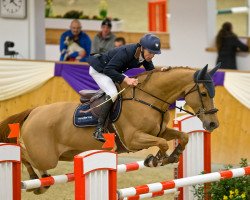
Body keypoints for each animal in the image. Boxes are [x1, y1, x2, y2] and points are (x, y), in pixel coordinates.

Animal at [0, 64, 219, 194]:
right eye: (203, 93)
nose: (213, 124)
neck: (149, 98)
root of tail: (33, 112)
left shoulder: (159, 131)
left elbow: (181, 136)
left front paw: (173, 156)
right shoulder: (133, 139)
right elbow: (163, 143)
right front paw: (155, 159)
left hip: (63, 154)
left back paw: (41, 182)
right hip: (45, 156)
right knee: (23, 154)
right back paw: (33, 179)